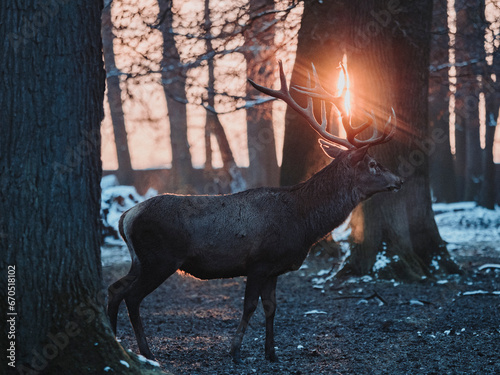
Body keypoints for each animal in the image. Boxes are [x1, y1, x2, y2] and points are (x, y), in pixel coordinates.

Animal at [107, 61, 404, 364]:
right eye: (372, 164)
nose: (399, 180)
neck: (303, 222)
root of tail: (125, 217)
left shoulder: (274, 268)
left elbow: (271, 307)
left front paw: (271, 353)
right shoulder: (259, 261)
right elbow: (249, 306)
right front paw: (235, 351)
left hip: (140, 260)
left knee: (115, 288)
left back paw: (117, 338)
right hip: (160, 258)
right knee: (132, 296)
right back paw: (147, 352)